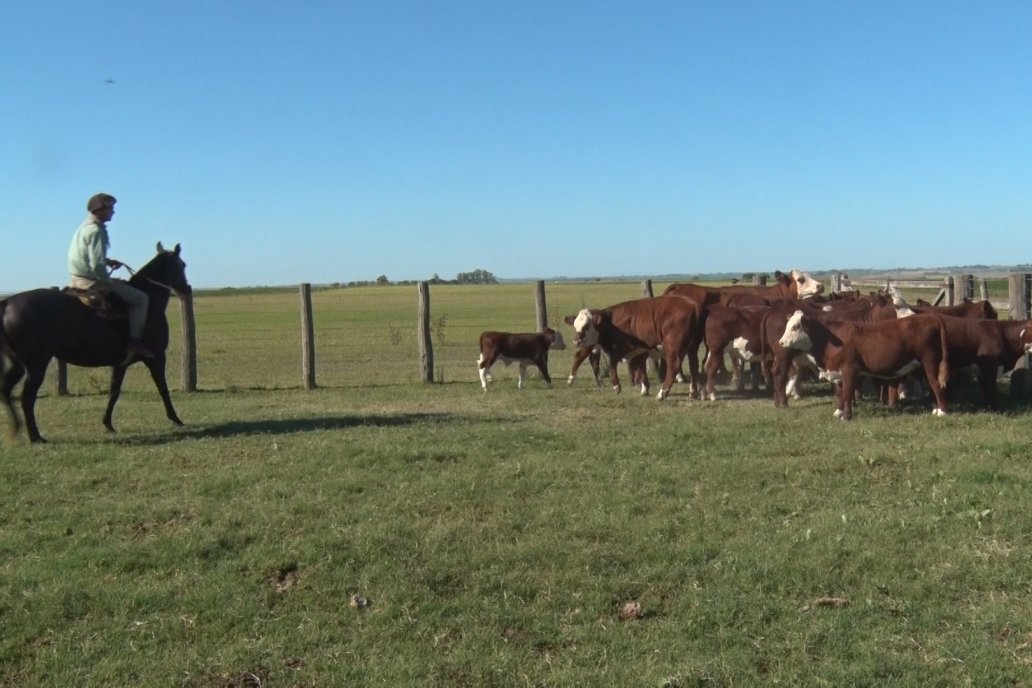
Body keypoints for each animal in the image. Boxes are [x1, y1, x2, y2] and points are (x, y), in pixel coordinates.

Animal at [1, 244, 190, 443]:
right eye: (182, 265)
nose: (186, 289)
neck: (150, 301)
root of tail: (7, 303)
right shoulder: (157, 358)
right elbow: (163, 388)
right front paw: (176, 419)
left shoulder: (121, 364)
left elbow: (114, 392)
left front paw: (108, 424)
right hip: (36, 365)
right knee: (27, 397)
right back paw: (35, 437)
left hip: (18, 364)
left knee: (6, 391)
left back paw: (16, 429)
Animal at [569, 295, 705, 400]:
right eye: (575, 325)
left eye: (586, 325)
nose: (576, 341)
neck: (612, 321)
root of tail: (693, 305)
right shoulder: (640, 349)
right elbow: (640, 366)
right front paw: (644, 388)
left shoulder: (627, 346)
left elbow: (613, 360)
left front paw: (616, 385)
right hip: (692, 347)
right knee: (694, 365)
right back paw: (693, 392)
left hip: (673, 346)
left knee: (674, 366)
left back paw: (662, 394)